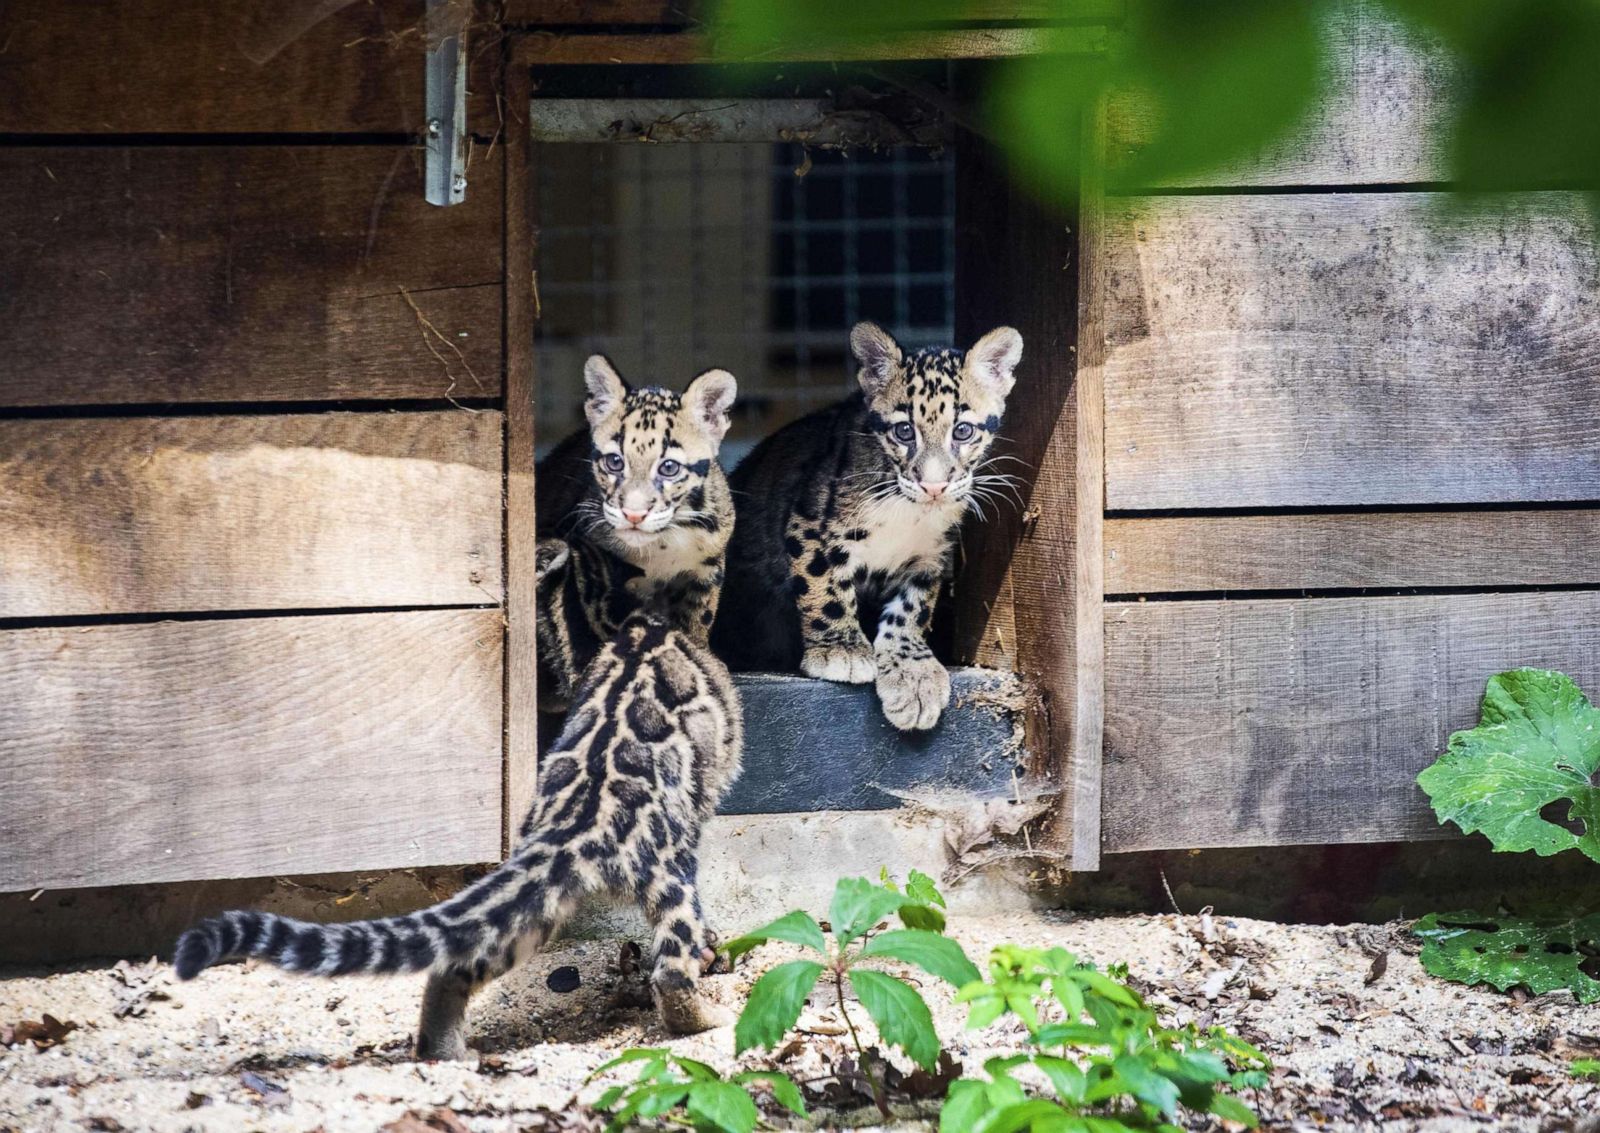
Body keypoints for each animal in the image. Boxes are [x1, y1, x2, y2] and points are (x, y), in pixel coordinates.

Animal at [175, 544, 742, 1056]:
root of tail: (571, 826)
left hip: (531, 911)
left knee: (457, 966)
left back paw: (444, 1052)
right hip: (671, 877)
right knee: (671, 972)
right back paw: (709, 1019)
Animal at [537, 353, 736, 707]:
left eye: (669, 467)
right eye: (614, 462)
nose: (633, 513)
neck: (661, 544)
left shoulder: (709, 565)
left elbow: (700, 614)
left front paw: (700, 652)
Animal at [716, 324, 1017, 736]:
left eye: (963, 431)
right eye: (904, 432)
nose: (934, 486)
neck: (909, 511)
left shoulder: (932, 556)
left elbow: (913, 609)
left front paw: (913, 671)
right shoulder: (809, 526)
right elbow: (825, 589)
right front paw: (841, 649)